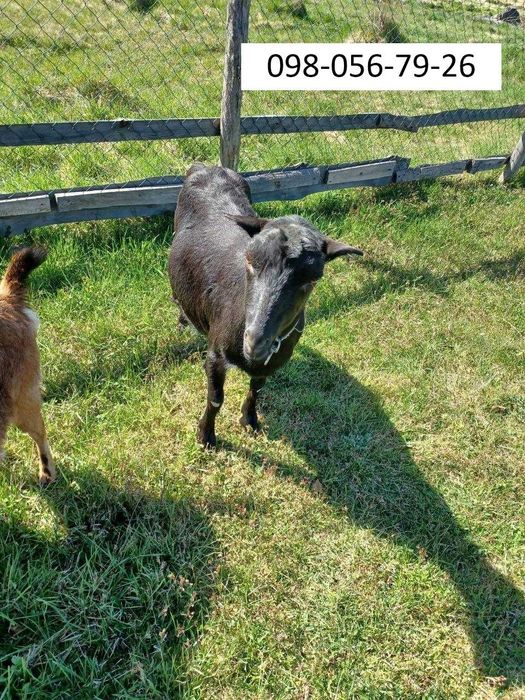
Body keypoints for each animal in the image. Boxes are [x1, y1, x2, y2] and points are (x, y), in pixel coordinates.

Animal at [169, 164, 362, 447]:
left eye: (313, 279)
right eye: (249, 261)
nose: (254, 342)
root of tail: (209, 167)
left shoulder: (270, 363)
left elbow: (257, 389)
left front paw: (249, 420)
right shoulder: (215, 354)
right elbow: (215, 399)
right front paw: (205, 436)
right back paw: (183, 322)